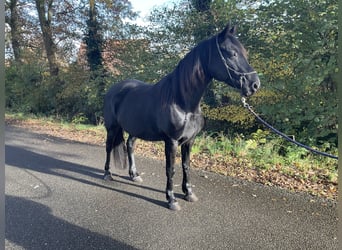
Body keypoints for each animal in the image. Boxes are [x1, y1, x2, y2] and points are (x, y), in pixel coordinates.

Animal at [103, 23, 260, 211]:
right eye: (232, 53)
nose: (255, 84)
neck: (182, 103)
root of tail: (114, 89)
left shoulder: (189, 141)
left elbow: (186, 166)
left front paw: (189, 193)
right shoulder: (171, 142)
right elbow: (171, 169)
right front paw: (171, 199)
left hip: (136, 128)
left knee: (130, 145)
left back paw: (134, 175)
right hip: (112, 128)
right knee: (108, 147)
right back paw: (107, 174)